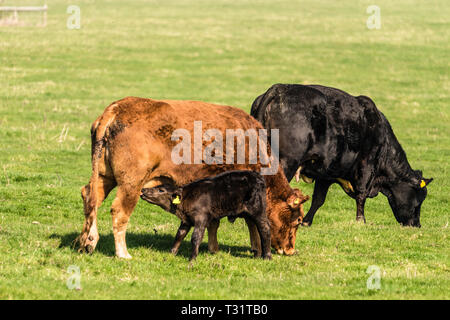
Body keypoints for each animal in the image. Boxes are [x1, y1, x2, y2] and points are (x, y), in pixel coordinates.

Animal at [141, 170, 270, 260]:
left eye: (161, 190)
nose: (143, 190)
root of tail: (257, 176)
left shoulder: (201, 218)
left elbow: (196, 237)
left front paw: (192, 258)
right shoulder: (186, 220)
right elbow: (179, 234)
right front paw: (171, 253)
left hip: (258, 209)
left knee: (265, 228)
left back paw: (267, 256)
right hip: (248, 213)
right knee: (254, 227)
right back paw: (257, 254)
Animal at [253, 84, 432, 226]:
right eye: (419, 199)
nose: (416, 224)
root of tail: (279, 89)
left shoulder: (326, 174)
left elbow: (318, 199)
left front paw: (306, 222)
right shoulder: (366, 166)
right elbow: (361, 194)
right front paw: (361, 220)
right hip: (287, 162)